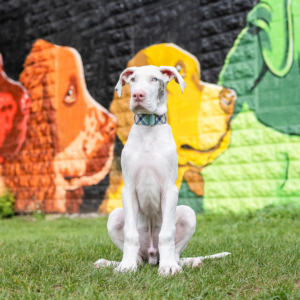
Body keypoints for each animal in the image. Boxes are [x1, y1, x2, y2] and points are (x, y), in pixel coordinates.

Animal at [94, 66, 230, 276]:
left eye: (154, 79)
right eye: (132, 80)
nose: (137, 94)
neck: (149, 129)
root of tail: (151, 256)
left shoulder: (169, 189)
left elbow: (167, 234)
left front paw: (168, 267)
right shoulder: (128, 189)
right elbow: (130, 234)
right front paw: (126, 266)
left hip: (188, 214)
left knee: (176, 253)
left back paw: (186, 262)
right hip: (114, 217)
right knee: (138, 257)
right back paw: (113, 263)